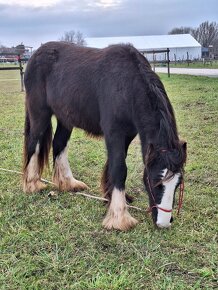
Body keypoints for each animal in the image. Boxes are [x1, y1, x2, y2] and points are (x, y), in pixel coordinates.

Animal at [23, 41, 186, 231]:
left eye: (178, 184)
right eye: (156, 182)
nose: (164, 222)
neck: (127, 85)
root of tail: (35, 55)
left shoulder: (127, 134)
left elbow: (115, 164)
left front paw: (112, 198)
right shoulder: (114, 133)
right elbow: (119, 168)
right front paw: (119, 217)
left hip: (65, 119)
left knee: (59, 144)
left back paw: (68, 183)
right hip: (39, 114)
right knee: (34, 143)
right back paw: (32, 184)